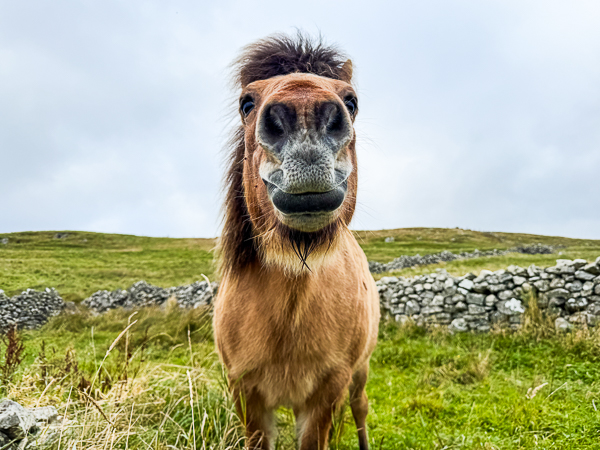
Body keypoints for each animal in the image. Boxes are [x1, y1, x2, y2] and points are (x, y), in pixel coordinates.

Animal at [213, 32, 378, 450]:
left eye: (351, 101)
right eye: (246, 103)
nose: (305, 117)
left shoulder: (327, 392)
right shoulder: (246, 395)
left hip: (360, 373)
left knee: (360, 409)